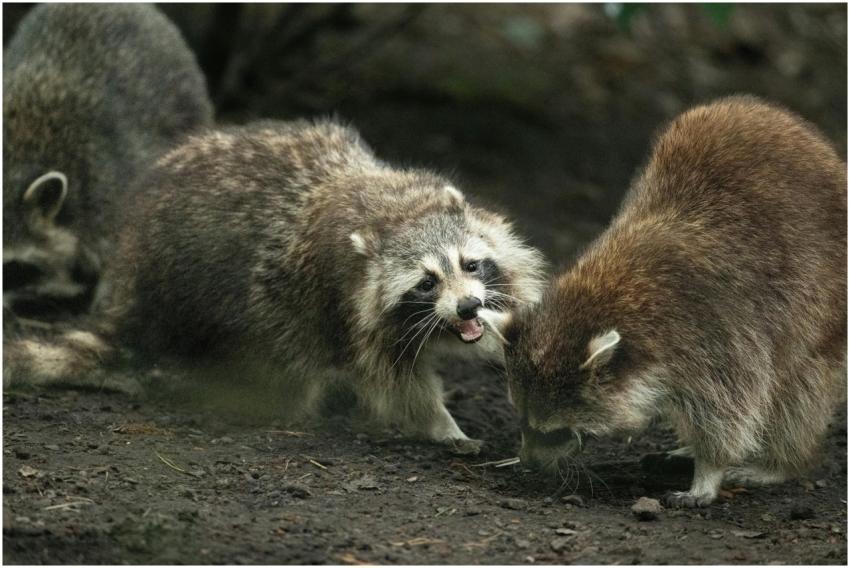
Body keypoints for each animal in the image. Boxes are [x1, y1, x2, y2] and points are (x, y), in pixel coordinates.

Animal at [8, 120, 545, 451]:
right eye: (426, 283)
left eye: (471, 265)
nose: (467, 308)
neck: (396, 211)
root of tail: (129, 277)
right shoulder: (346, 297)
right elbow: (397, 381)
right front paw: (442, 426)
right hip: (212, 292)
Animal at [504, 96, 846, 506]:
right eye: (521, 420)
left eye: (555, 431)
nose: (527, 463)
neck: (605, 293)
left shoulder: (717, 332)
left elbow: (731, 407)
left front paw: (709, 471)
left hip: (826, 298)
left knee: (800, 390)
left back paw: (779, 462)